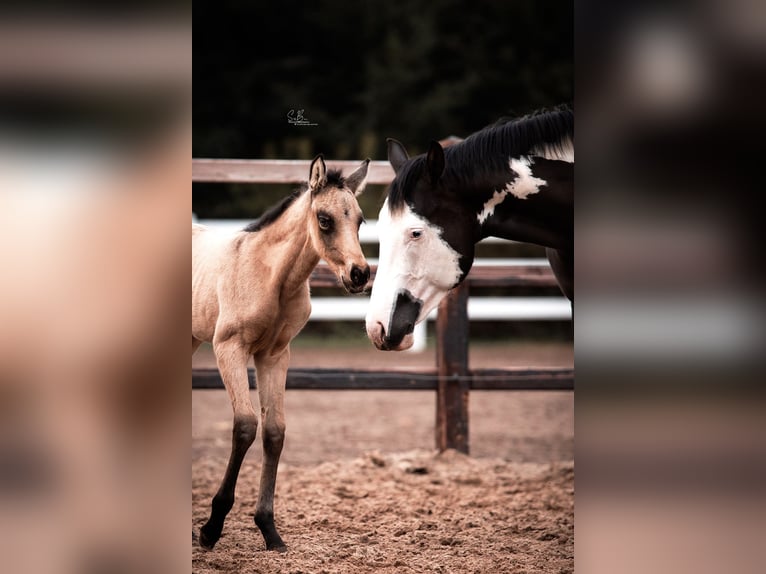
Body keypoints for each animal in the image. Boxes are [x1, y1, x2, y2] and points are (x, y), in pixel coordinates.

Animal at [192, 155, 370, 551]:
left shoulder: (274, 355)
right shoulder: (228, 347)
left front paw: (269, 530)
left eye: (360, 220)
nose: (360, 274)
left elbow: (275, 431)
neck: (271, 276)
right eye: (325, 219)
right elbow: (245, 425)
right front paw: (211, 527)